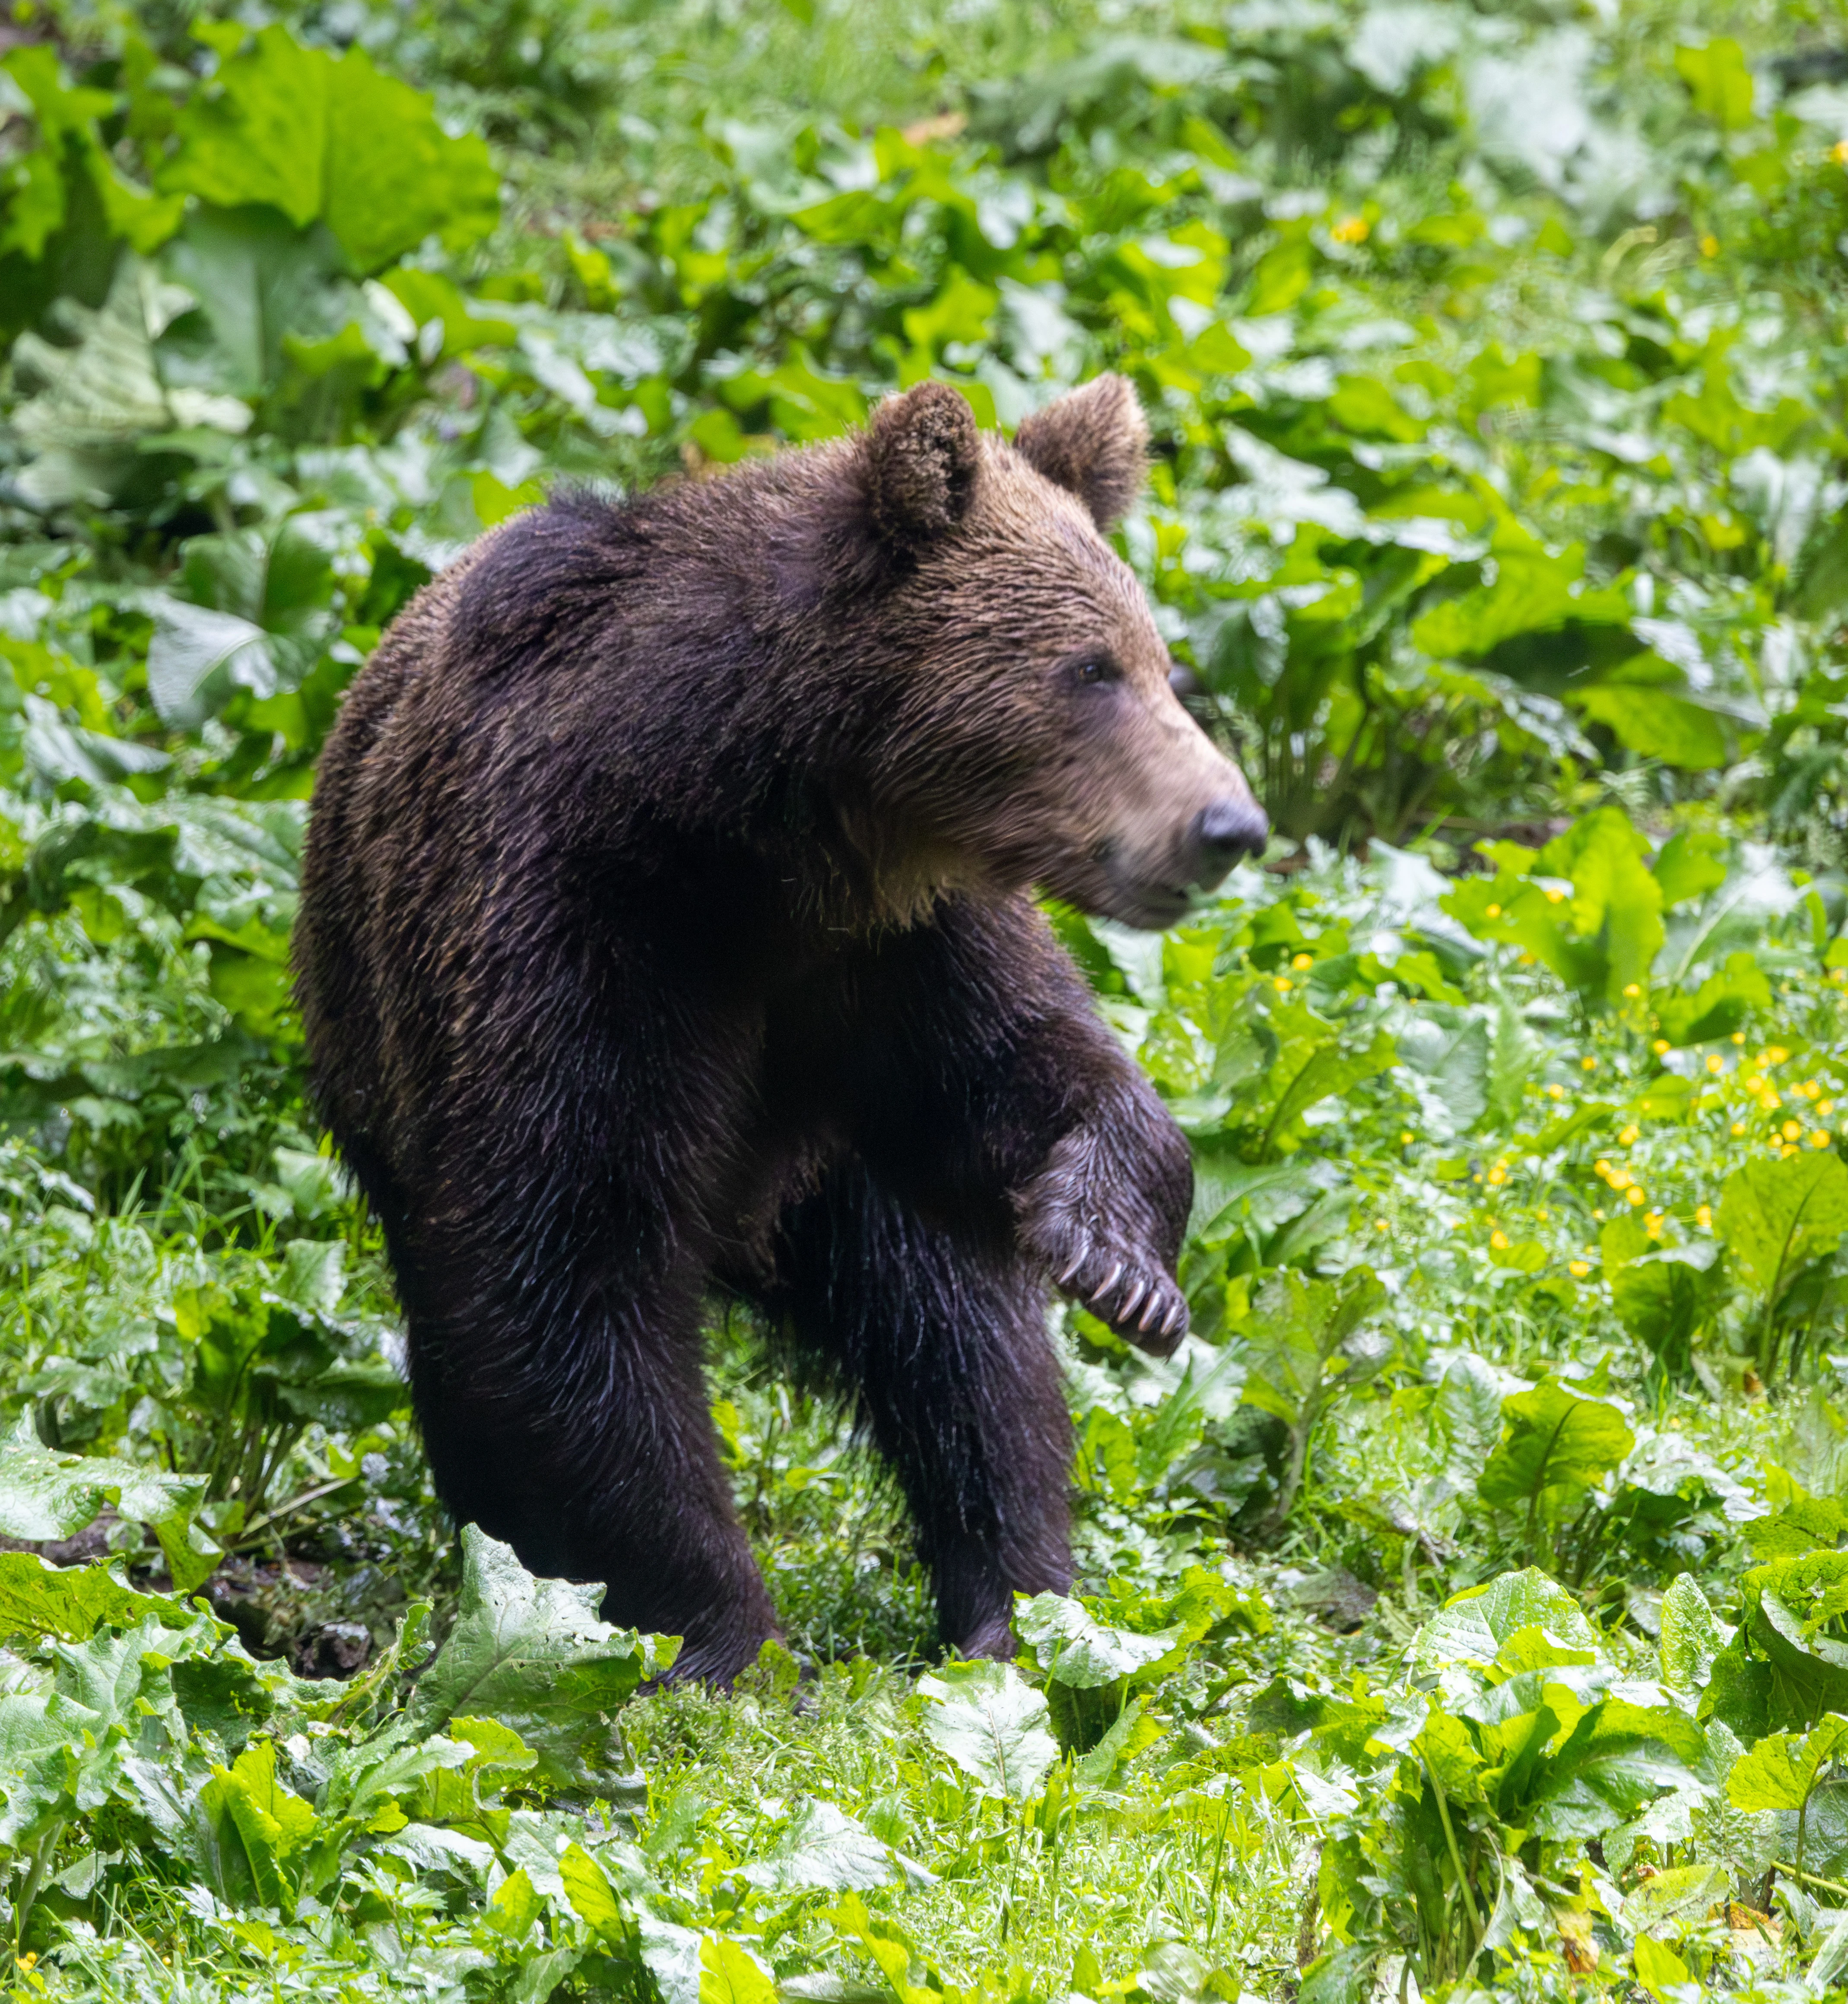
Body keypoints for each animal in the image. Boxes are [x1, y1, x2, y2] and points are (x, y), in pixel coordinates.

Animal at [294, 375, 1267, 1683]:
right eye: (1088, 667)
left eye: (1163, 666)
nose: (1226, 825)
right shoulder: (574, 933)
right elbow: (561, 1277)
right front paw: (724, 1637)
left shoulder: (895, 954)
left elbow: (1032, 1073)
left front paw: (1117, 1257)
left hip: (836, 1184)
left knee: (962, 1343)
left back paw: (1011, 1603)